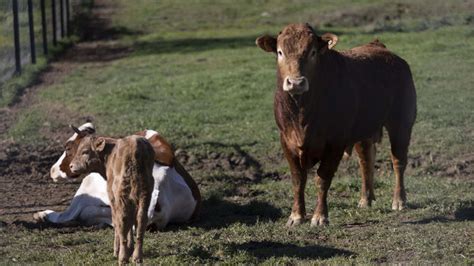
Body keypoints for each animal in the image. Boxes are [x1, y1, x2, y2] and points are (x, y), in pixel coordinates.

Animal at [258, 23, 416, 227]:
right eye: (280, 52)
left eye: (313, 52)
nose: (296, 82)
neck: (302, 113)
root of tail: (382, 49)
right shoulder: (286, 140)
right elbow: (298, 180)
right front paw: (296, 216)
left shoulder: (335, 143)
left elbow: (323, 178)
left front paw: (320, 216)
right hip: (364, 130)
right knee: (366, 160)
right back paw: (365, 199)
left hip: (401, 123)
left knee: (398, 161)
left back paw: (399, 200)